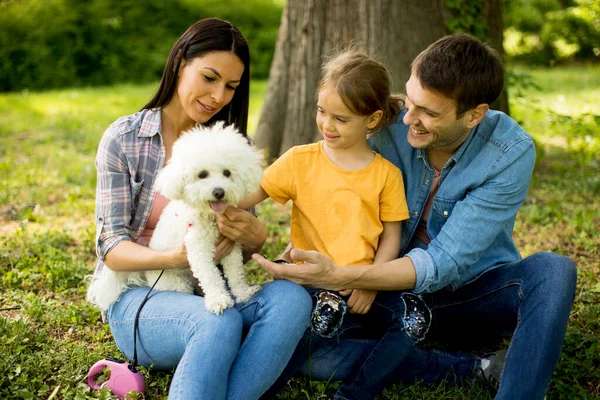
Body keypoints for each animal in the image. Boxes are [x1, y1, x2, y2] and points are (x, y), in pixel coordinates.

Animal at [86, 122, 262, 312]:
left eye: (227, 173)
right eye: (202, 174)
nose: (219, 192)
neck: (209, 216)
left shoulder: (232, 247)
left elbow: (236, 273)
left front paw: (244, 293)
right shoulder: (197, 248)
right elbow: (210, 276)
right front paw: (218, 299)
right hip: (177, 284)